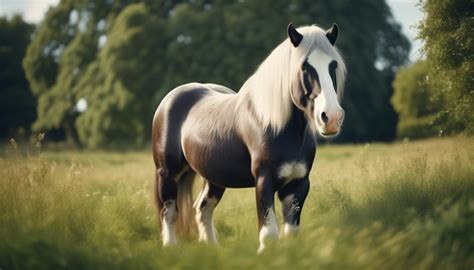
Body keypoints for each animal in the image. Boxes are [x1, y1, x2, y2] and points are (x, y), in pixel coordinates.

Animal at [154, 23, 346, 253]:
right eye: (304, 67)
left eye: (333, 65)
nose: (331, 117)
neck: (276, 125)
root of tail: (170, 99)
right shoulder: (264, 181)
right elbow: (269, 234)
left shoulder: (298, 184)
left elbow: (291, 233)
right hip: (168, 173)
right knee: (169, 212)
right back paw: (170, 247)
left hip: (214, 178)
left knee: (202, 209)